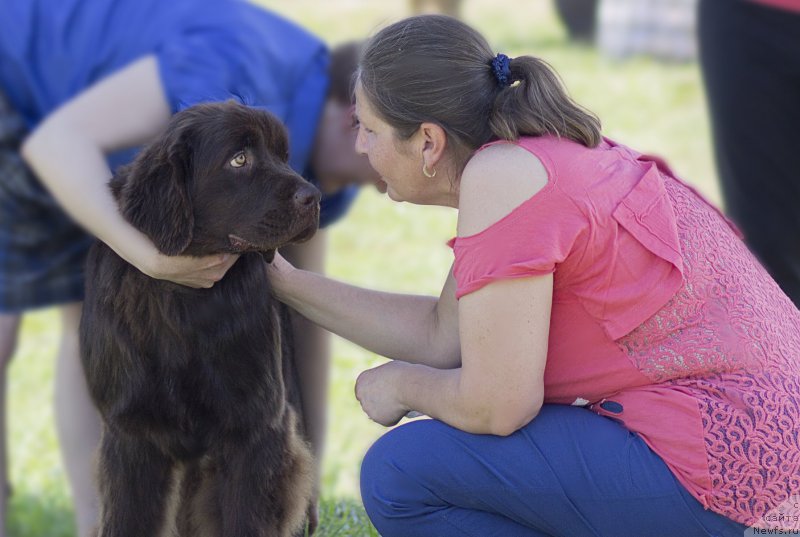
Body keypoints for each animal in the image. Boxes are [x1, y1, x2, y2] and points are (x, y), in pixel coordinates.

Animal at [79, 100, 320, 536]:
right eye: (239, 159)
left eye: (283, 155)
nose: (314, 197)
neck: (183, 304)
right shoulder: (129, 431)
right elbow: (128, 518)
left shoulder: (255, 425)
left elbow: (247, 518)